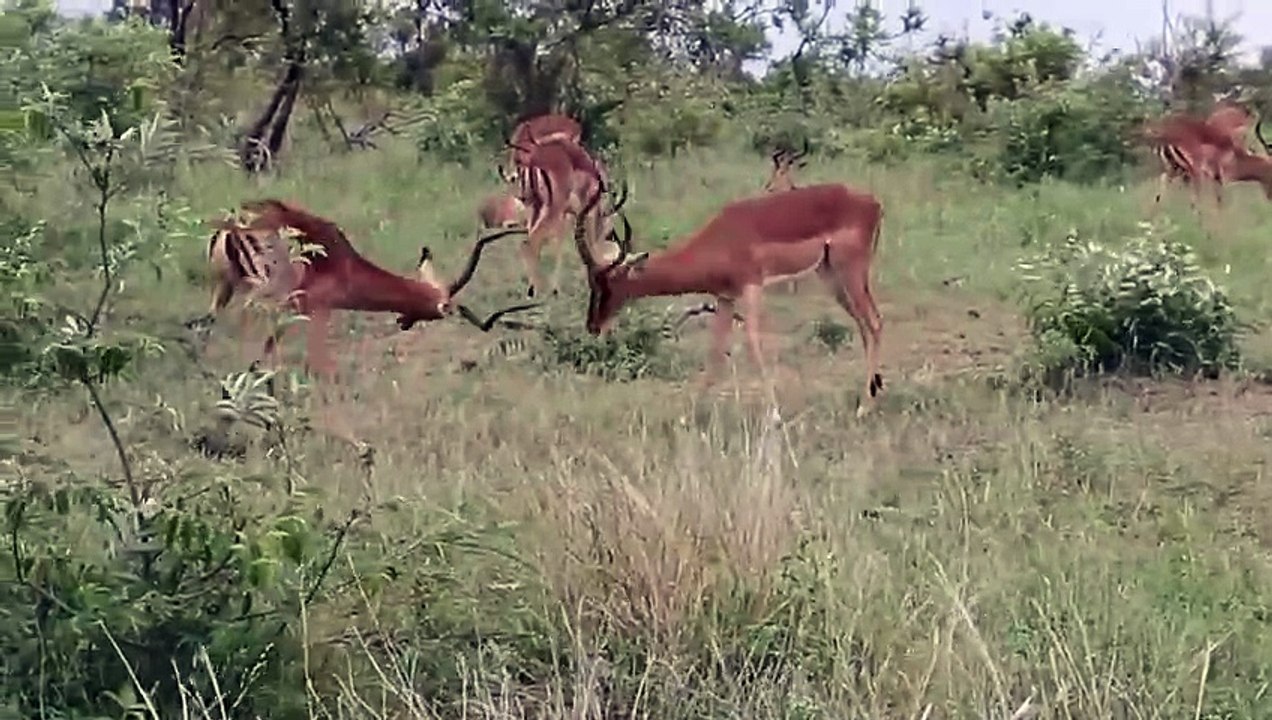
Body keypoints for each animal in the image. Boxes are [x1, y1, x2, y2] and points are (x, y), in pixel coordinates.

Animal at [201, 199, 536, 377]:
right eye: (440, 310)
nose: (403, 321)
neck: (347, 266)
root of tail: (235, 224)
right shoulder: (313, 309)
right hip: (261, 295)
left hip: (225, 288)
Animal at [571, 182, 886, 415]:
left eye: (607, 285)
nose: (593, 326)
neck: (721, 239)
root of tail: (873, 203)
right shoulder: (725, 298)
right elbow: (716, 352)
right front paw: (689, 416)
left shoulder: (752, 287)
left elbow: (753, 345)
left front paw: (774, 414)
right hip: (830, 275)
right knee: (865, 326)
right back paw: (872, 392)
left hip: (849, 272)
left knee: (874, 322)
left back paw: (865, 407)